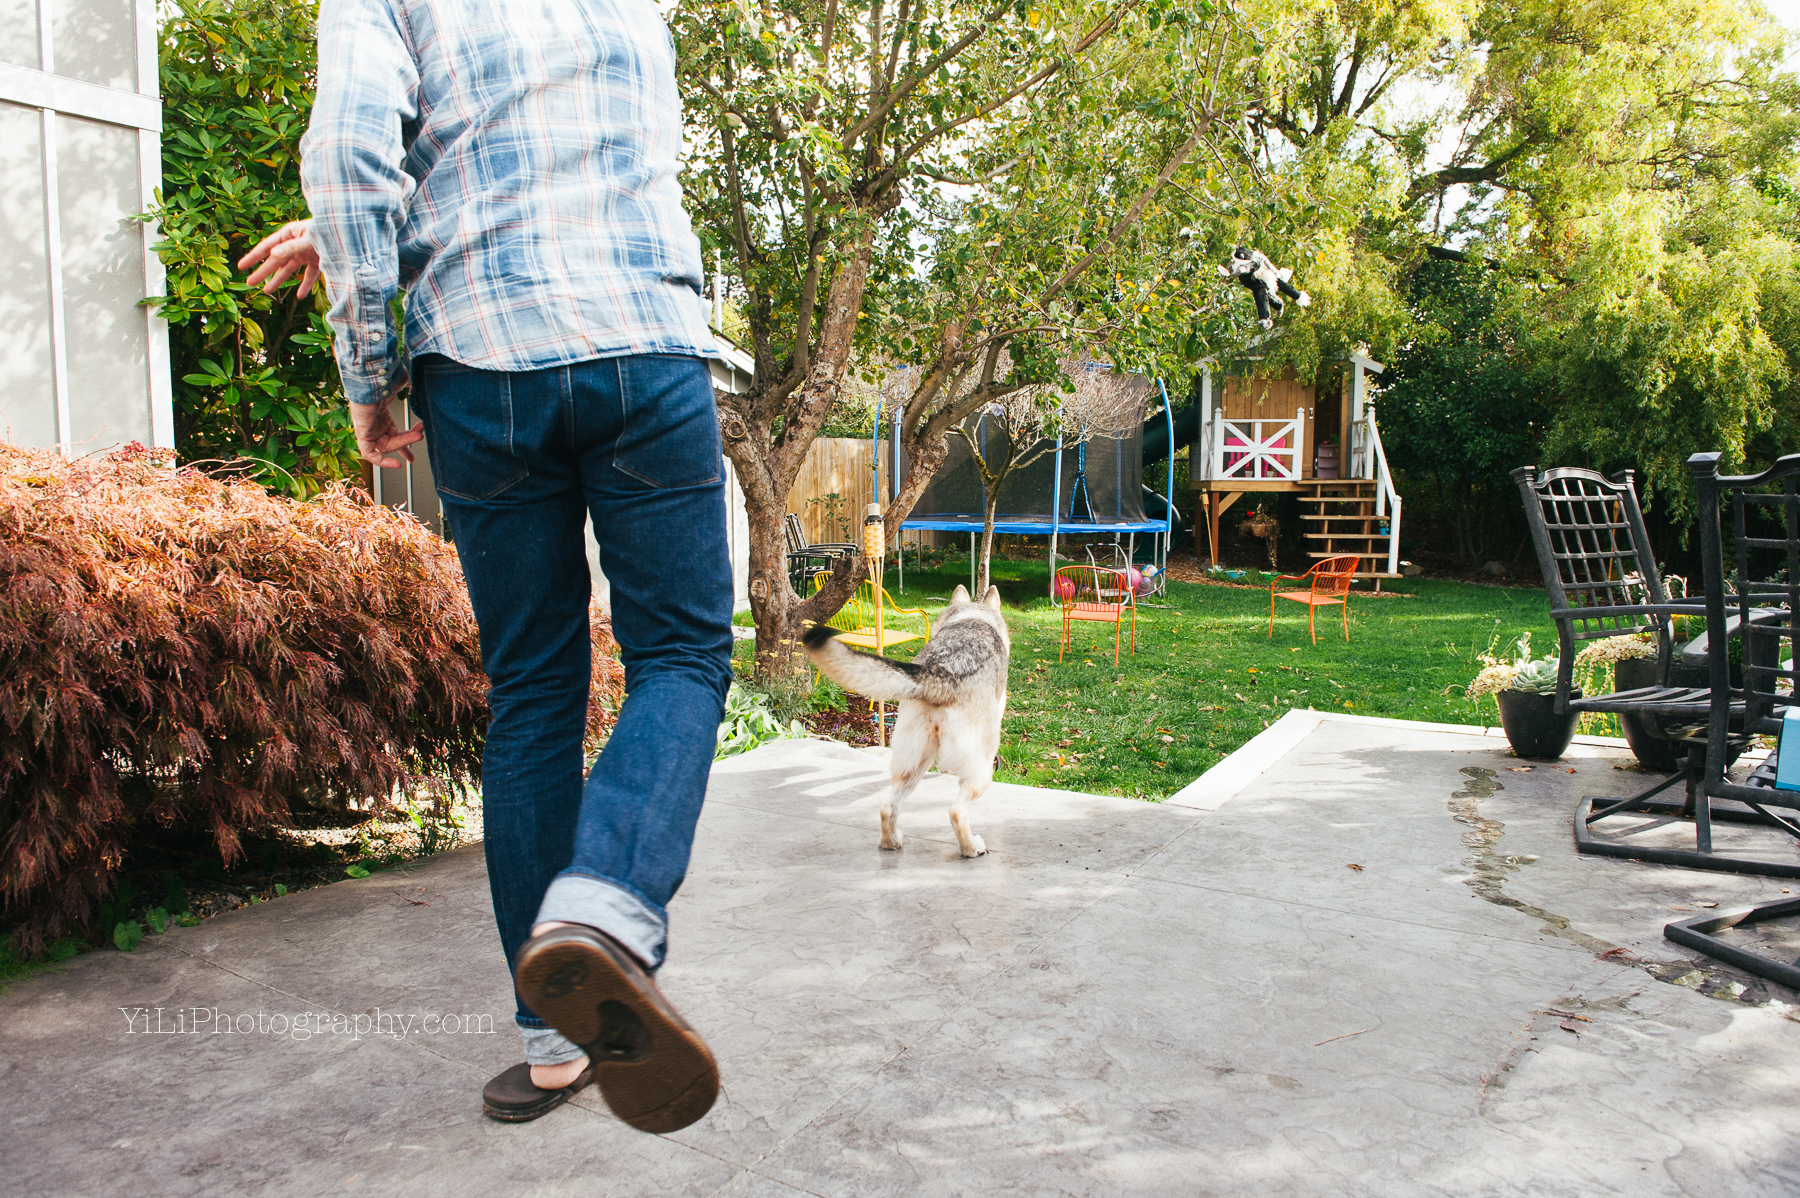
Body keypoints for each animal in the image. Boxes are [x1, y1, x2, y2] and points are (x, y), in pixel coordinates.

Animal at [806, 582, 1015, 852]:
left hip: (912, 765)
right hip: (977, 771)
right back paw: (972, 848)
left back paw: (891, 842)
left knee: (887, 808)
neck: (972, 617)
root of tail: (939, 674)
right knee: (956, 812)